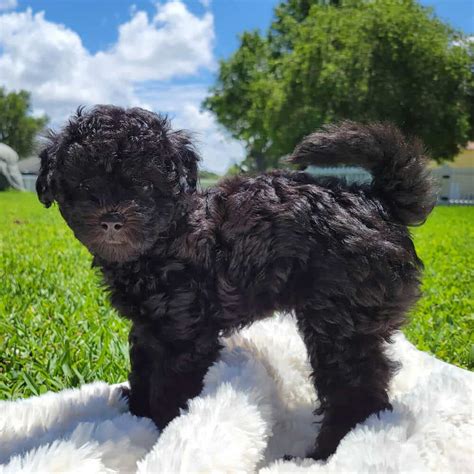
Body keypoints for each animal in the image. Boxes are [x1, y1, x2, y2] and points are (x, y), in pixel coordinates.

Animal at [37, 105, 436, 462]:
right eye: (84, 184)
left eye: (147, 185)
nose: (112, 219)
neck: (167, 236)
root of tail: (378, 201)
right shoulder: (150, 326)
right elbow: (143, 368)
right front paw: (136, 411)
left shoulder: (184, 334)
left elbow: (169, 386)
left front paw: (160, 432)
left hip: (342, 320)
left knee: (355, 387)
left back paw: (324, 455)